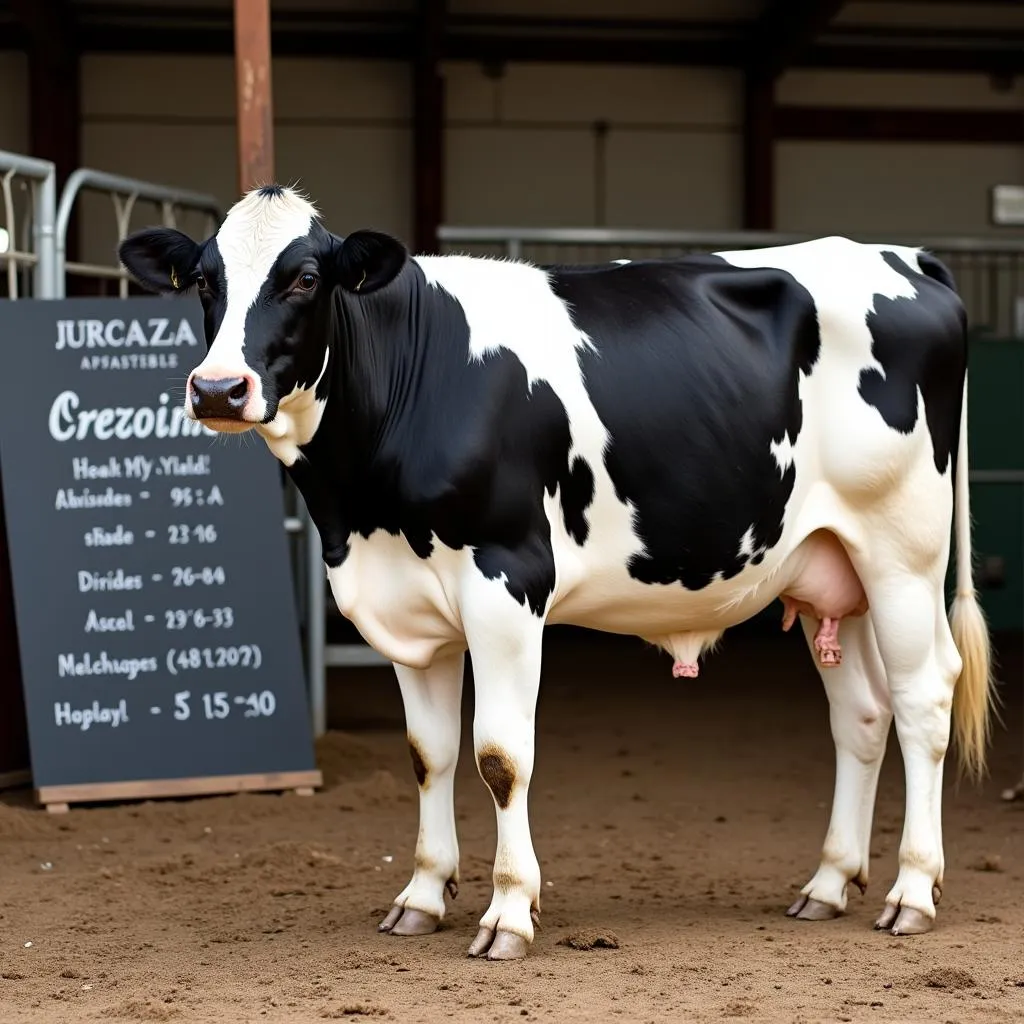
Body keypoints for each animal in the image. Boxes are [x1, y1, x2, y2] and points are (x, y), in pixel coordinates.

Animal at [117, 184, 991, 958]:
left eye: (303, 277)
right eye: (204, 280)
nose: (218, 388)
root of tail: (898, 256)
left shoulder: (507, 583)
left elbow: (501, 757)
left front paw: (508, 912)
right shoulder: (408, 606)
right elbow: (429, 754)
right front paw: (422, 897)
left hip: (904, 551)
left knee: (923, 701)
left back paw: (913, 893)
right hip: (829, 567)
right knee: (863, 714)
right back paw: (829, 884)